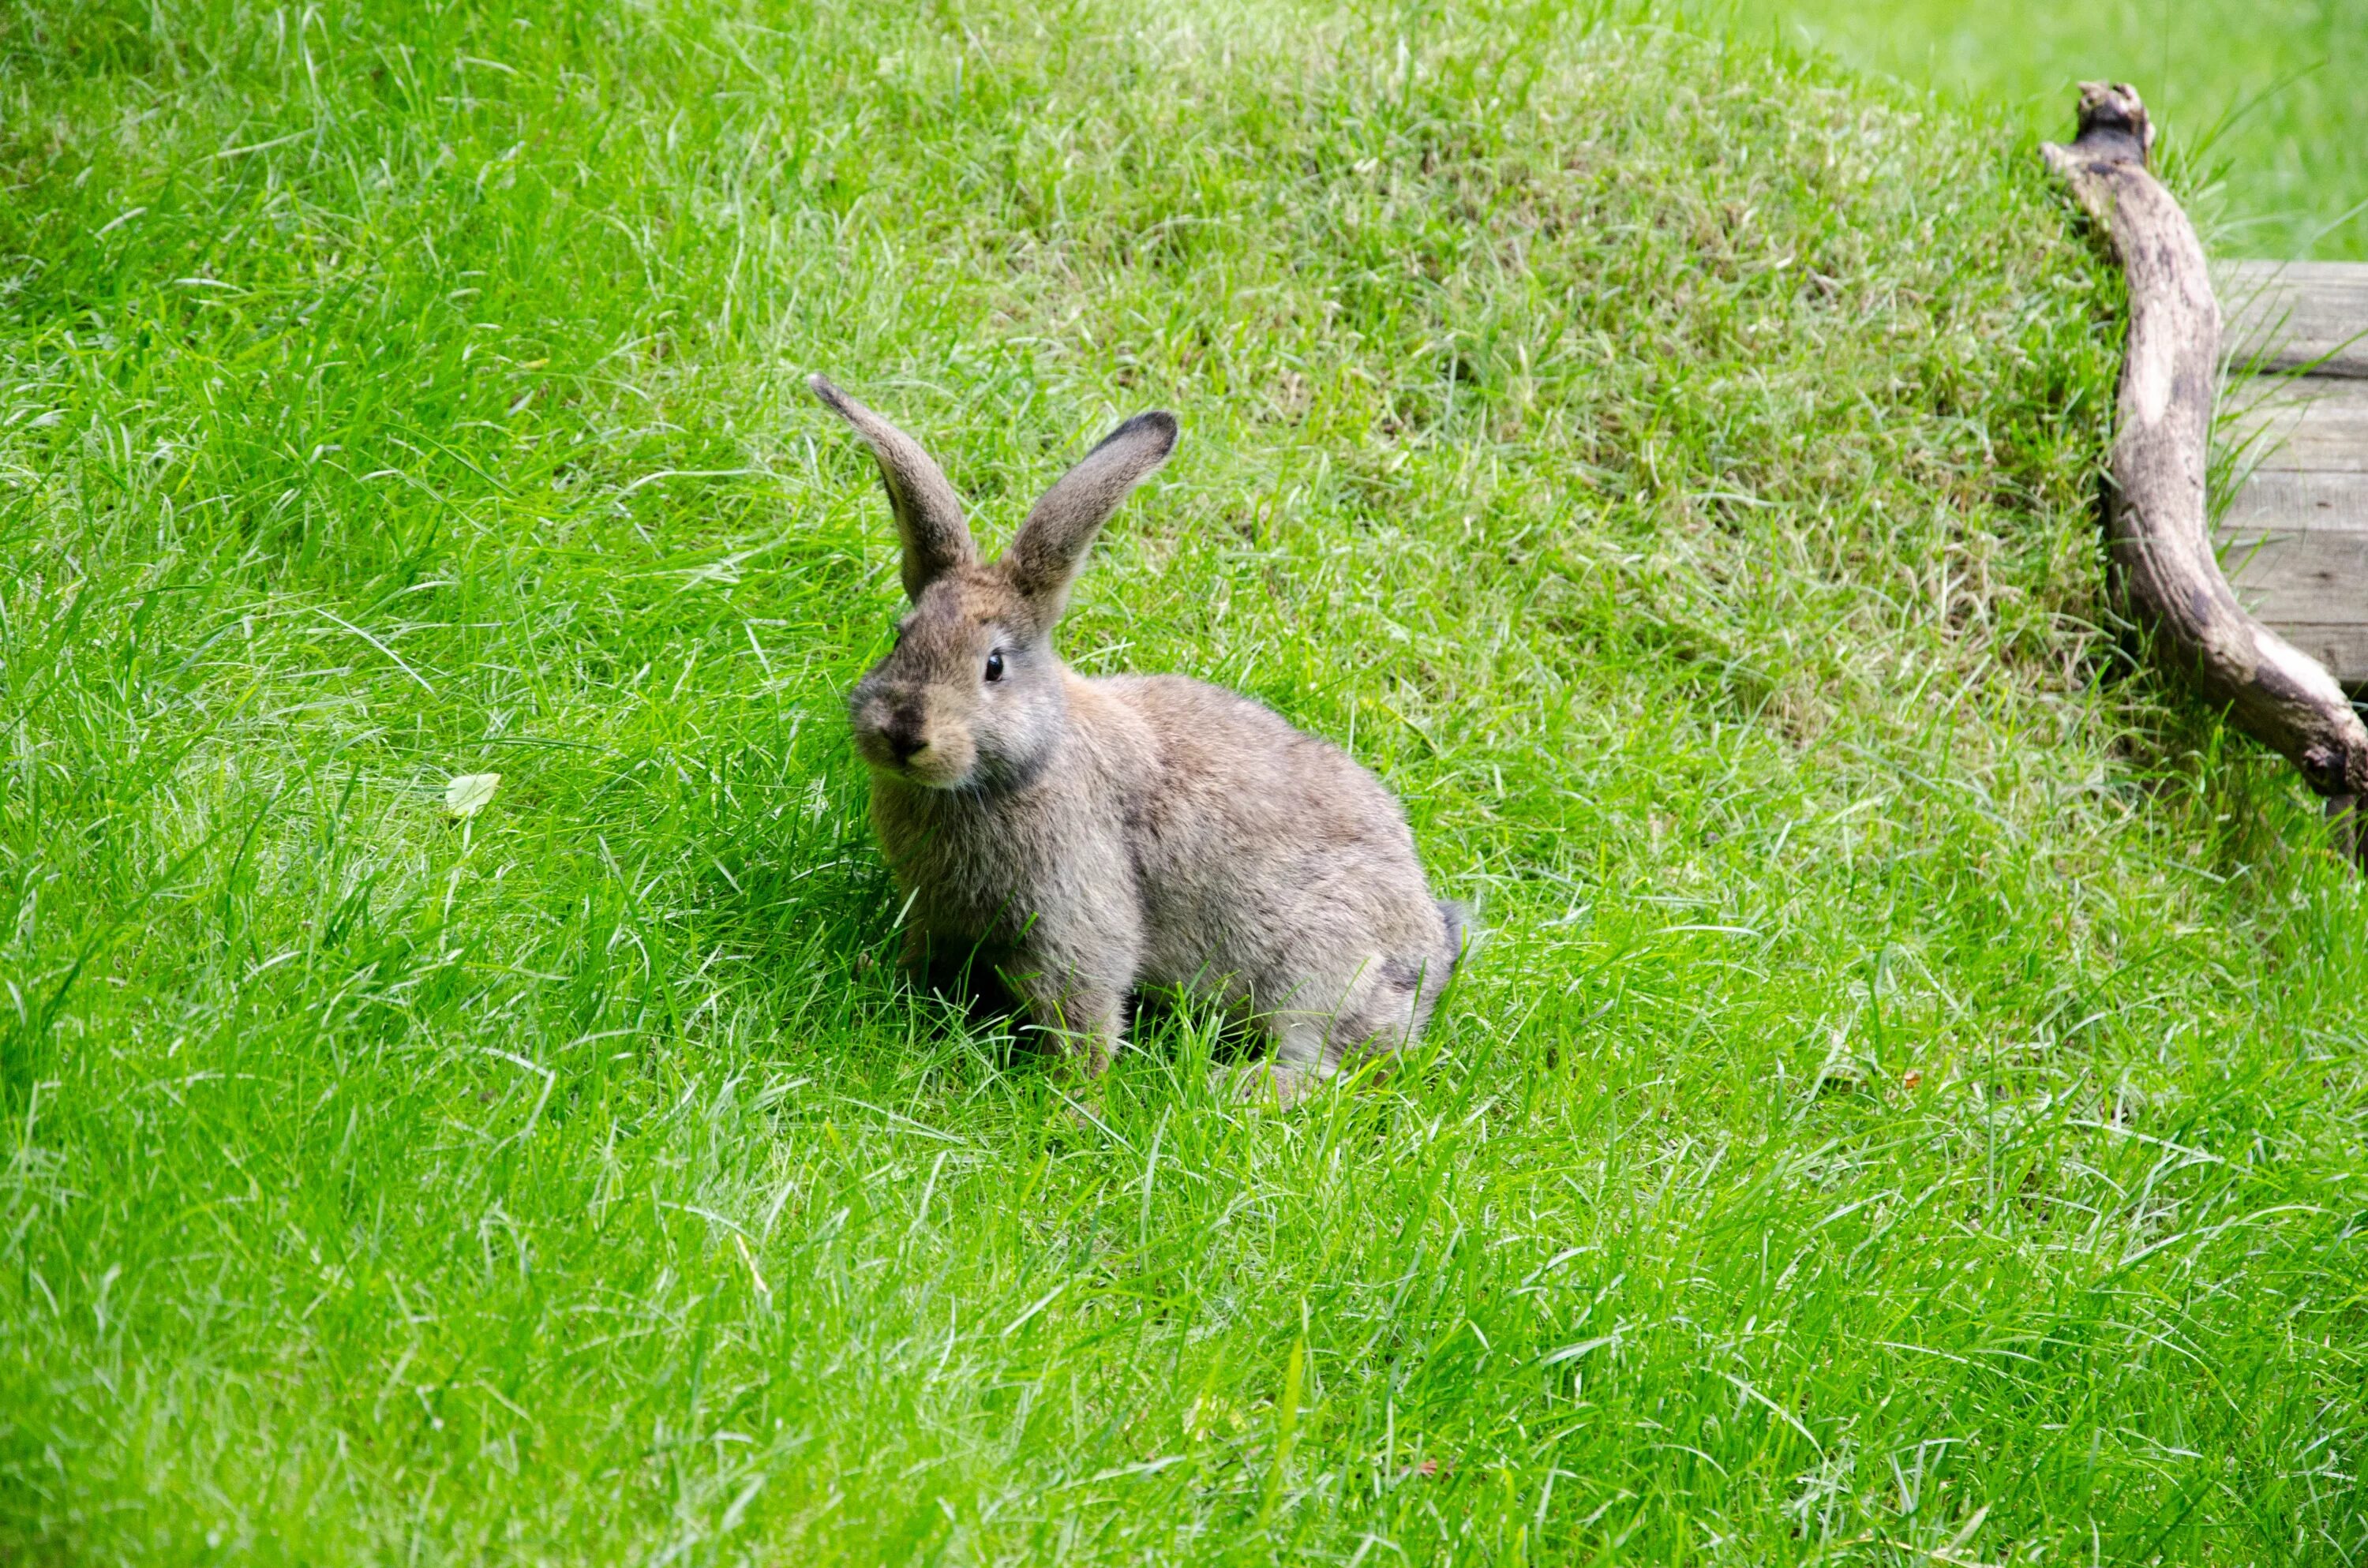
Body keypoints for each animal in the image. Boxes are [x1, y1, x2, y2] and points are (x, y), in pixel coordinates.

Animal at [815, 376, 1459, 1103]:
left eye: (994, 666)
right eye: (900, 637)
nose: (903, 733)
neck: (1022, 768)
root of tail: (1433, 955)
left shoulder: (1078, 912)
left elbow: (1084, 1007)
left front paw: (1073, 1098)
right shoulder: (936, 911)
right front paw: (883, 979)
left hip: (1319, 970)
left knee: (1331, 1068)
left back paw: (1233, 1086)